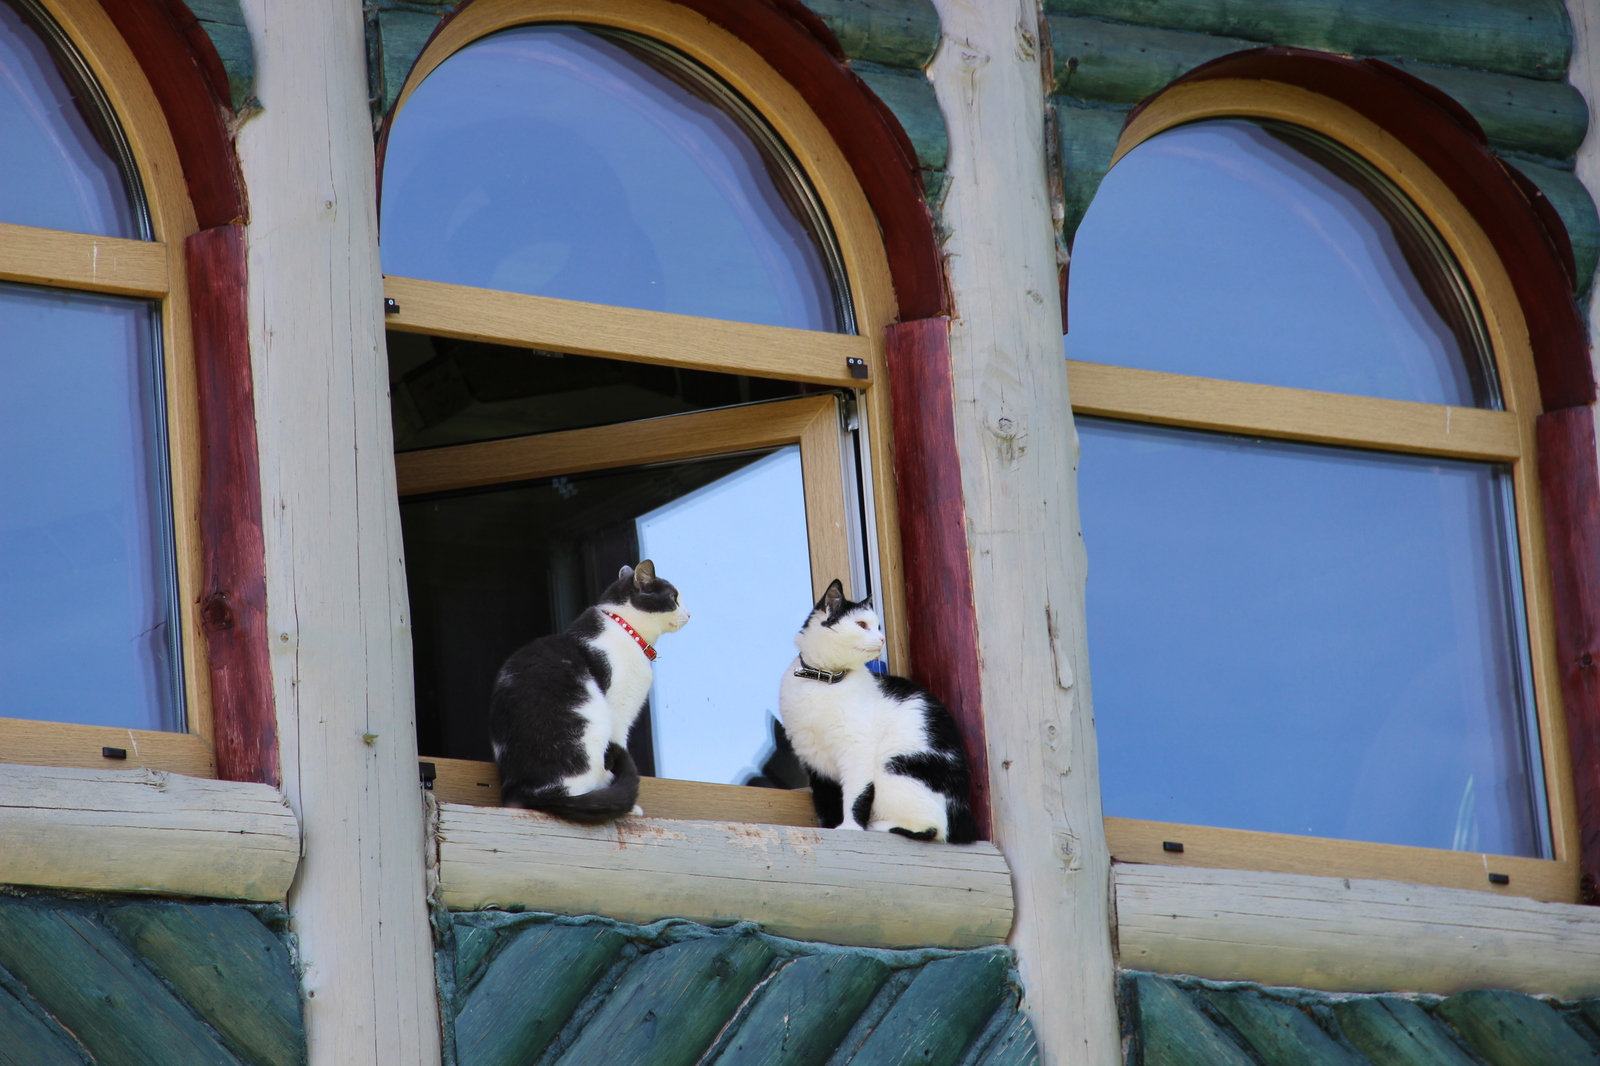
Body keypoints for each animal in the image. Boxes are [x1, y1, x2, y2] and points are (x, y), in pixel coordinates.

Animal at [486, 560, 688, 816]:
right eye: (674, 598)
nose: (689, 613)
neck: (626, 630)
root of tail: (525, 790)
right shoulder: (618, 709)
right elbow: (617, 748)